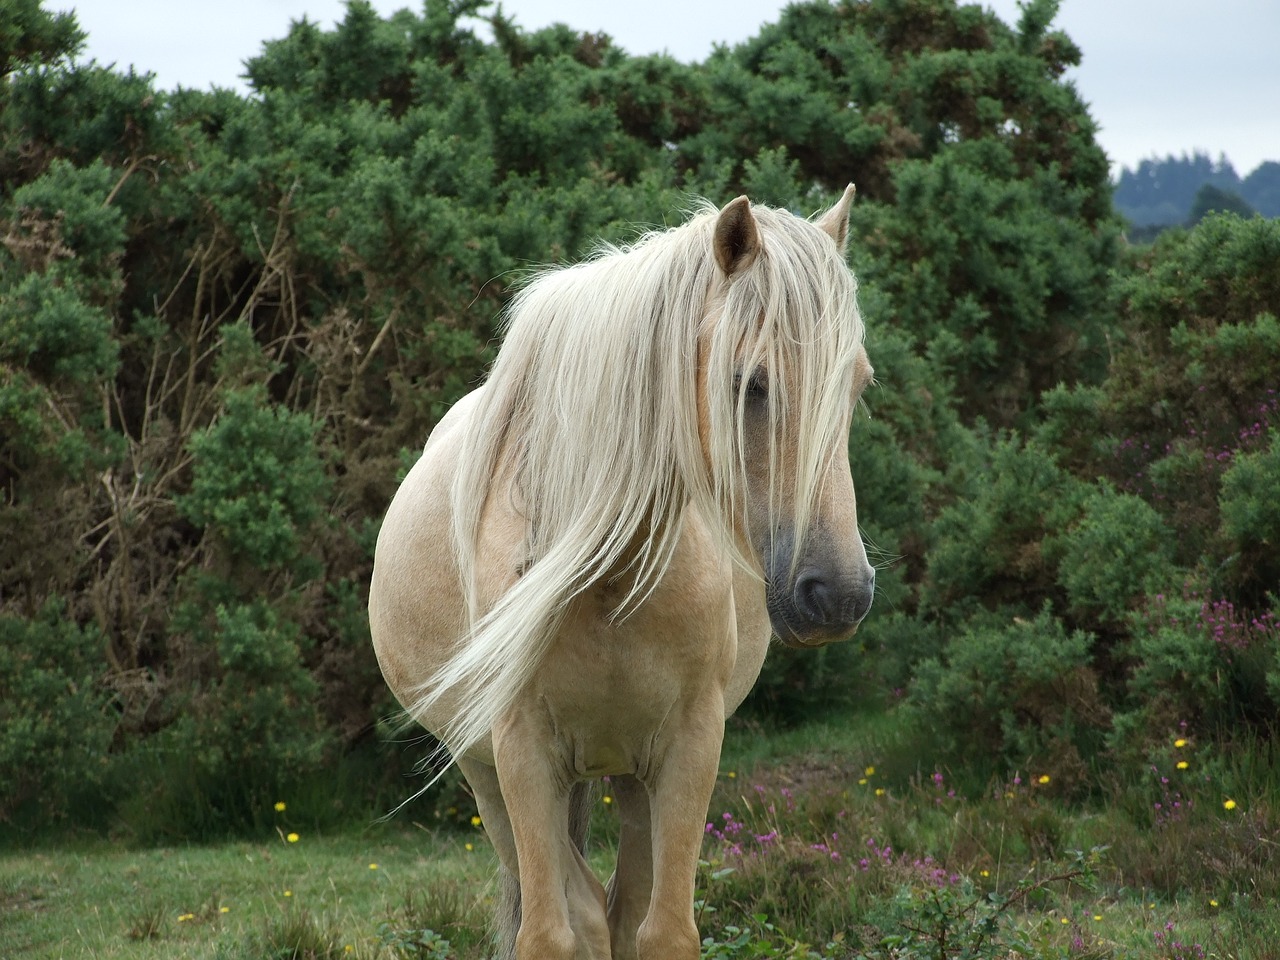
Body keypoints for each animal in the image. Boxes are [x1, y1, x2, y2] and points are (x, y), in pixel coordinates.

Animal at [366, 189, 875, 960]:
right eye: (749, 383)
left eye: (857, 384)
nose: (838, 594)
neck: (607, 577)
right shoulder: (521, 751)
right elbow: (555, 929)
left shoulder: (690, 745)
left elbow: (660, 930)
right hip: (486, 773)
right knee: (575, 904)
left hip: (636, 776)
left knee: (620, 904)